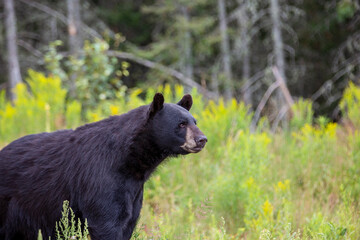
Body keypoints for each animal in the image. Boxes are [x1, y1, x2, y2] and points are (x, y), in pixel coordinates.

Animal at [0, 94, 207, 240]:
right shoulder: (101, 180)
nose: (202, 139)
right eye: (181, 124)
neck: (131, 162)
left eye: (195, 121)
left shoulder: (132, 192)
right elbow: (106, 221)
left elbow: (127, 222)